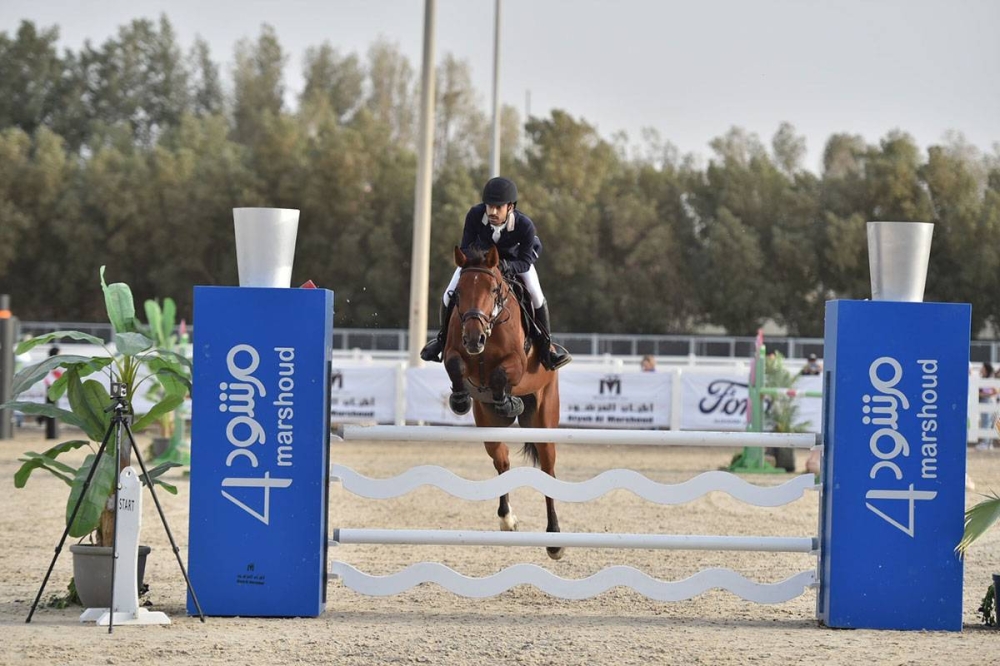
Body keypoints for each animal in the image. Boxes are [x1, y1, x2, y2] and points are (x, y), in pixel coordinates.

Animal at [441, 244, 564, 560]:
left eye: (494, 289)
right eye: (458, 293)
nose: (474, 338)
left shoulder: (517, 364)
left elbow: (500, 374)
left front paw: (509, 401)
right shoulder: (454, 352)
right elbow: (456, 364)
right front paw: (460, 399)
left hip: (544, 421)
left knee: (547, 469)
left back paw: (555, 539)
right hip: (489, 427)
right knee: (502, 460)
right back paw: (507, 519)